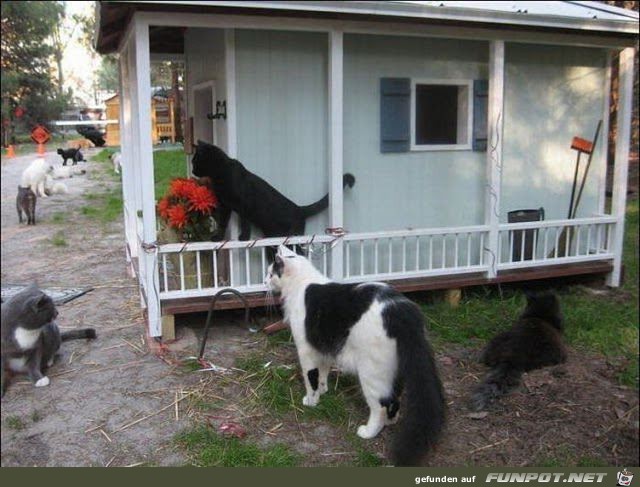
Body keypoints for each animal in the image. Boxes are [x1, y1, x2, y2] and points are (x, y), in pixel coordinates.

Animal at [190, 140, 356, 241]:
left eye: (194, 161)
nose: (192, 170)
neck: (219, 173)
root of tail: (299, 209)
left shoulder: (243, 204)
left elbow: (245, 222)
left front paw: (244, 237)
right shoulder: (225, 205)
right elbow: (222, 223)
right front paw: (218, 237)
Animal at [264, 246, 444, 468]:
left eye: (270, 272)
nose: (264, 281)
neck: (301, 284)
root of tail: (400, 310)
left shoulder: (306, 350)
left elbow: (310, 377)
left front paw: (311, 400)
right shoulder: (325, 347)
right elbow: (323, 372)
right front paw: (323, 390)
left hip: (371, 374)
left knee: (380, 405)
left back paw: (369, 431)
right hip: (396, 370)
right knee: (395, 398)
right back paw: (391, 421)